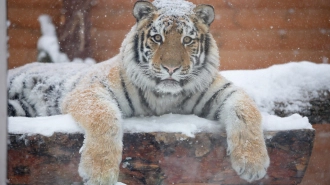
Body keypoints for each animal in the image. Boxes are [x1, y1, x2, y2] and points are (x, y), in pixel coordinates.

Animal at [7, 0, 270, 184]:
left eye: (187, 40)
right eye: (157, 38)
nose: (171, 68)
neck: (165, 97)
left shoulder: (224, 91)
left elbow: (247, 112)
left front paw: (253, 165)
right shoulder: (91, 89)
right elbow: (105, 117)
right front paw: (99, 173)